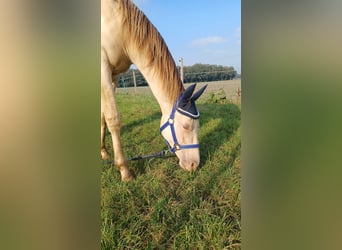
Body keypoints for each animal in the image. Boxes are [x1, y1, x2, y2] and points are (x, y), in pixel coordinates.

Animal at [101, 0, 206, 181]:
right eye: (186, 126)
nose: (194, 165)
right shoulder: (103, 67)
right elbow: (113, 119)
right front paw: (124, 170)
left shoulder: (114, 75)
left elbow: (102, 116)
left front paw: (103, 152)